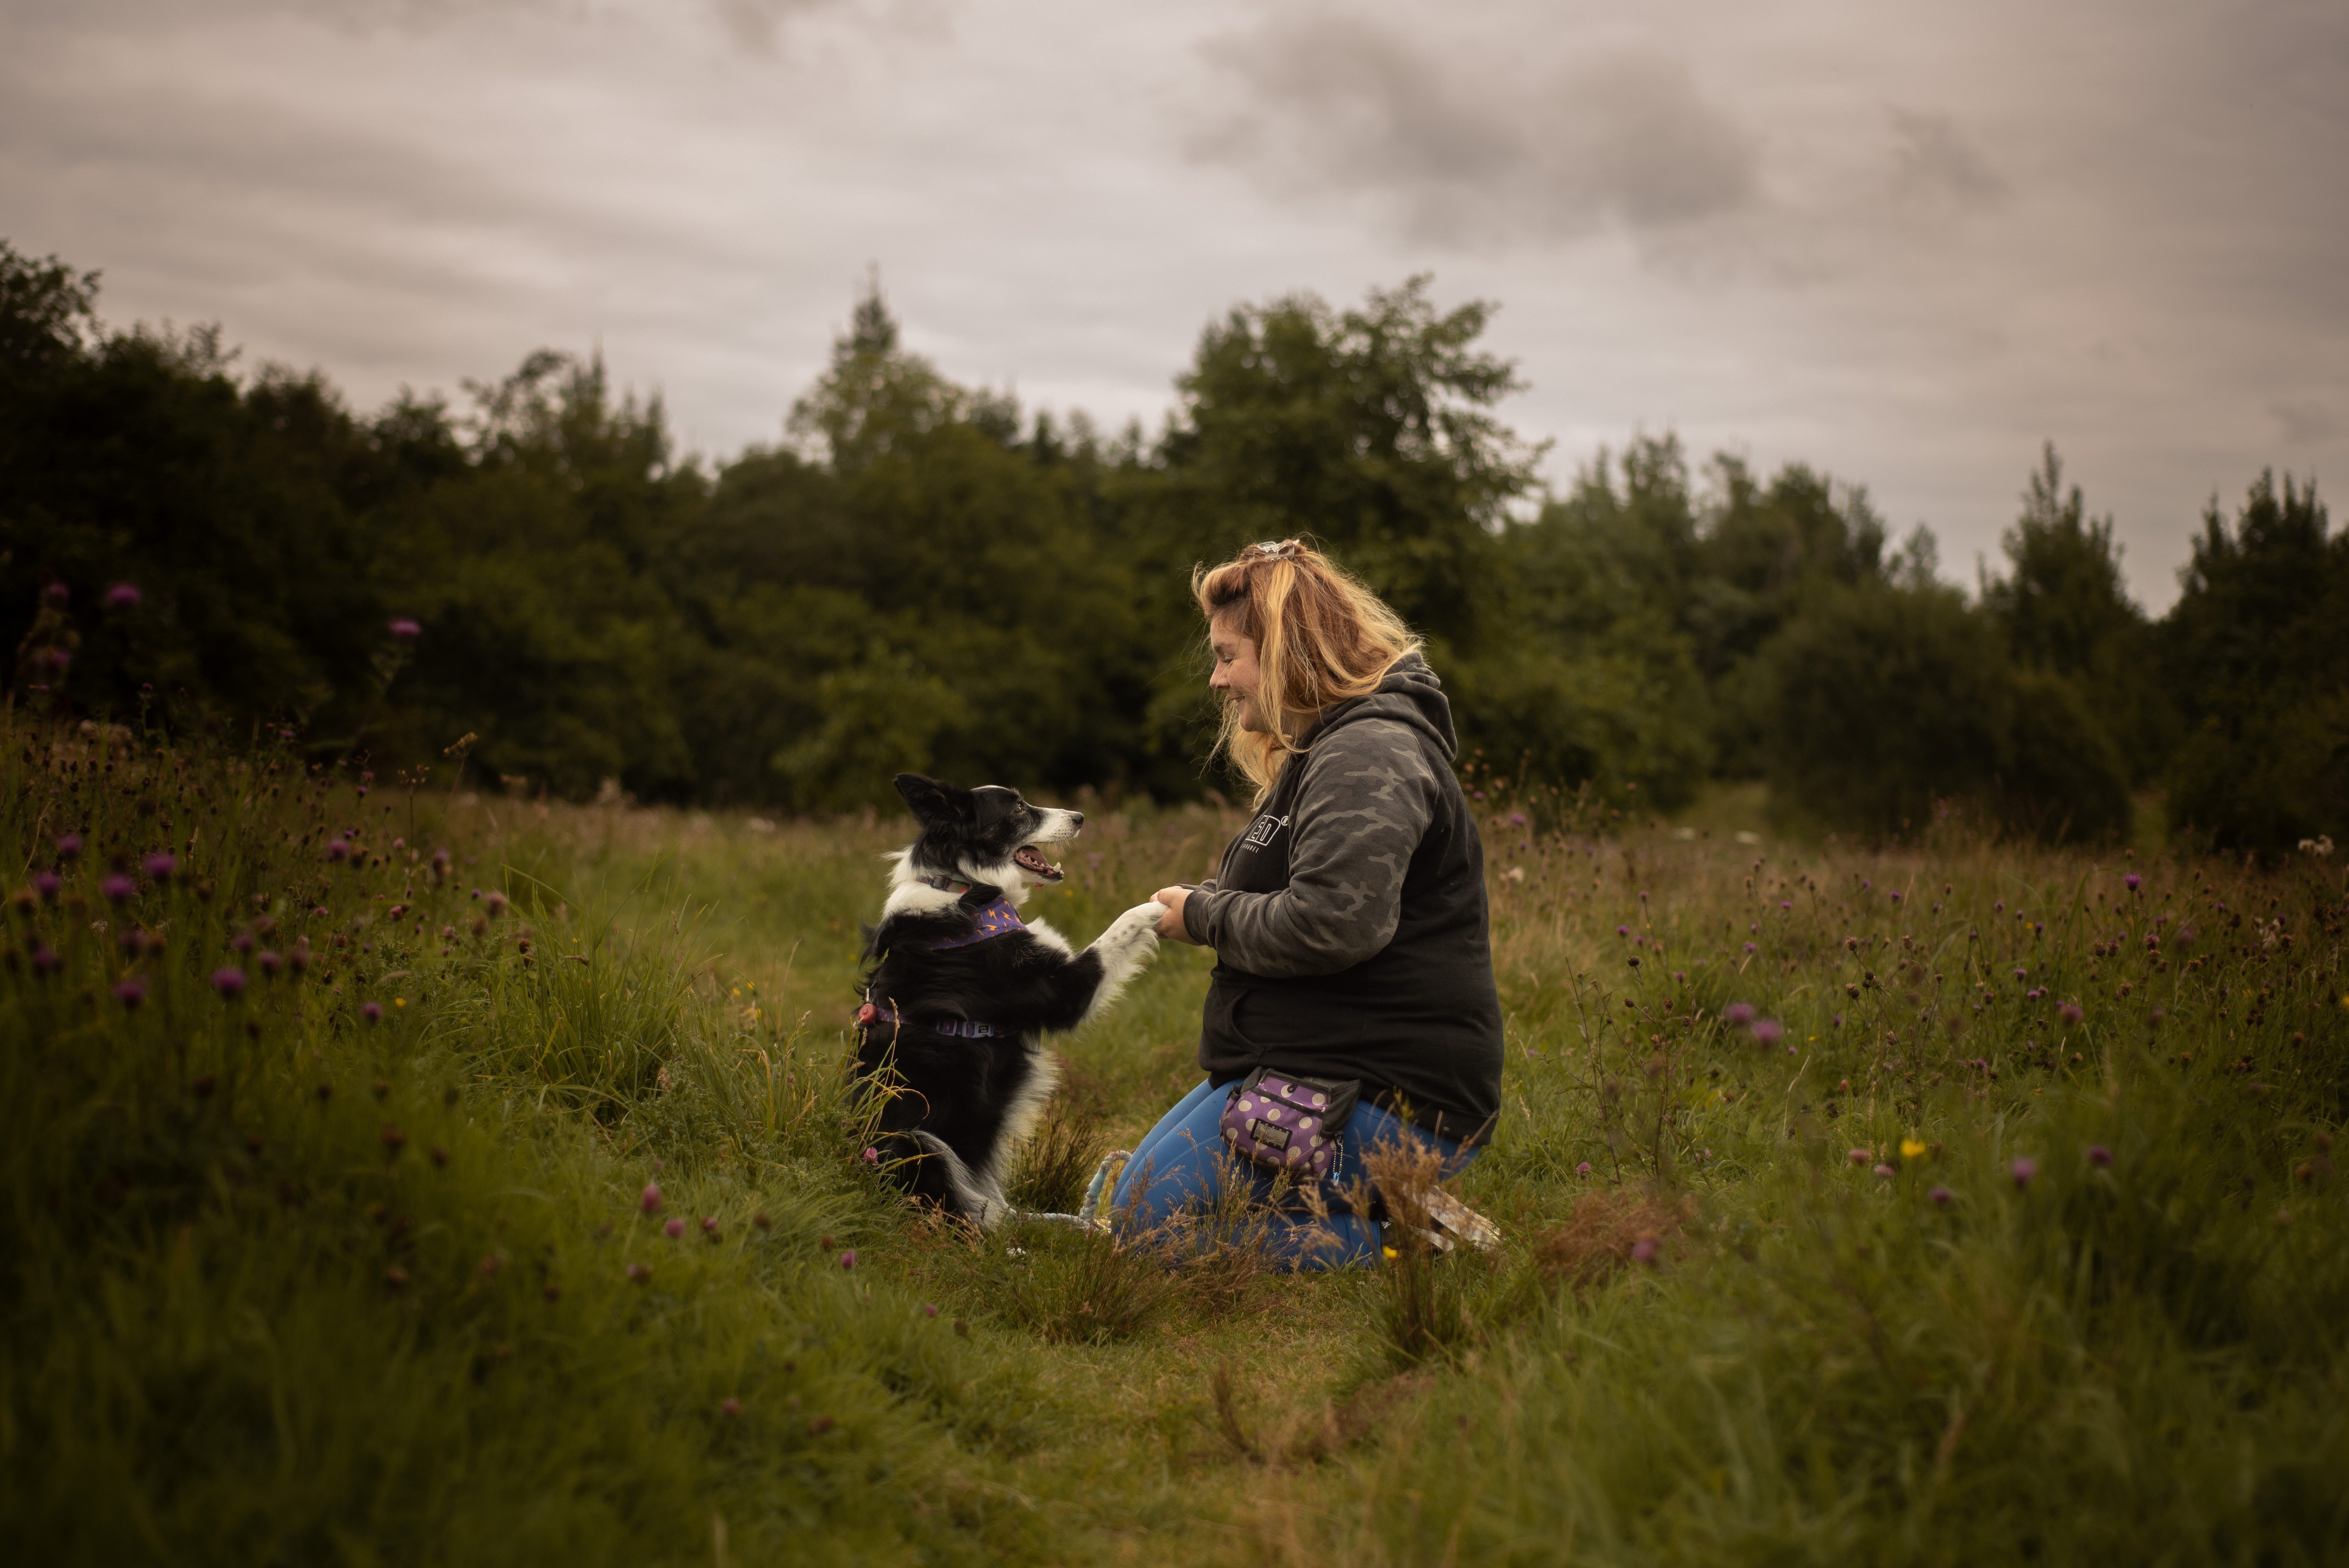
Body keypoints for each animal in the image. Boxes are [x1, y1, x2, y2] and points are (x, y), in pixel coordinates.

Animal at [855, 770, 1165, 1220]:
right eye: (1018, 808)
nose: (1080, 817)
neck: (961, 885)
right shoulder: (1062, 988)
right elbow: (1121, 927)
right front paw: (1166, 904)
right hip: (917, 1144)